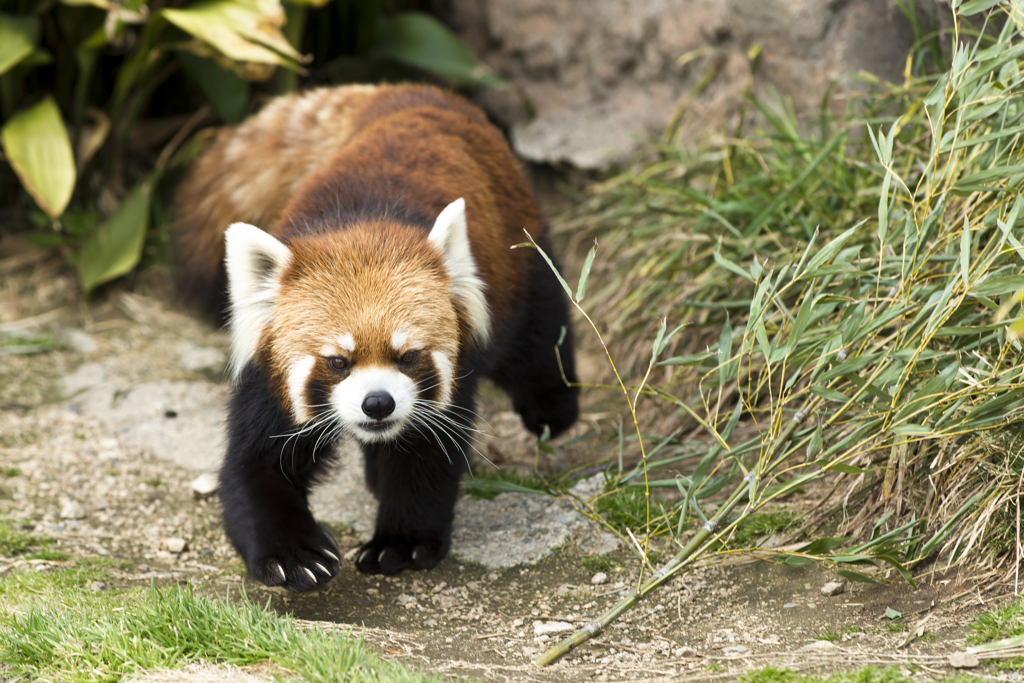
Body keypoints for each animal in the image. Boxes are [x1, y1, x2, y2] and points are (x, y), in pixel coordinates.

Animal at [174, 82, 577, 589]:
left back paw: (554, 408)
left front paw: (400, 543)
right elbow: (255, 466)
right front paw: (293, 554)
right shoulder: (268, 381)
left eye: (408, 356)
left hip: (515, 251)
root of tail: (406, 92)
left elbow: (424, 457)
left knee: (538, 330)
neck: (363, 224)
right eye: (337, 362)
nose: (378, 404)